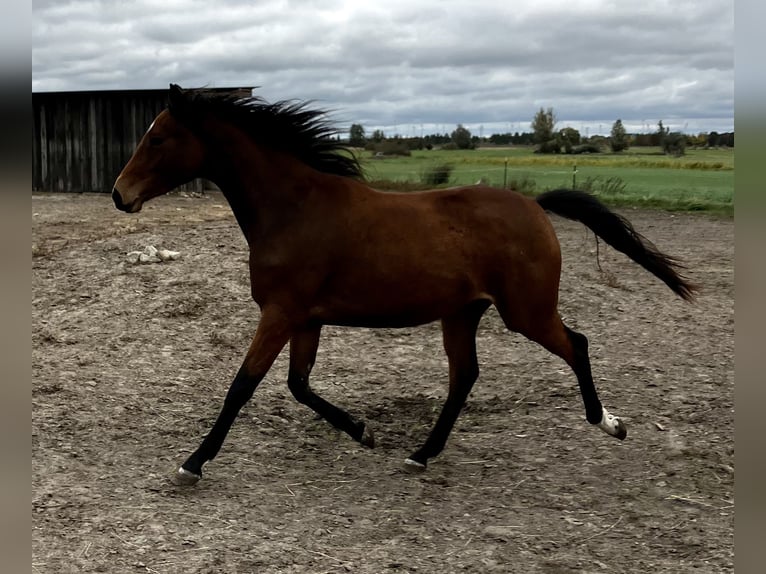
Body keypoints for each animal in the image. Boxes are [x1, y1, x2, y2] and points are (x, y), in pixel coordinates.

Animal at [112, 84, 696, 486]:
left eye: (157, 137)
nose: (120, 194)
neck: (293, 208)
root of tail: (534, 205)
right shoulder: (305, 318)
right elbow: (298, 385)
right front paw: (363, 431)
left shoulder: (280, 313)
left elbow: (243, 385)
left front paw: (193, 463)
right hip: (463, 313)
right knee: (465, 376)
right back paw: (421, 454)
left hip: (524, 312)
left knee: (577, 344)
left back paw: (609, 423)